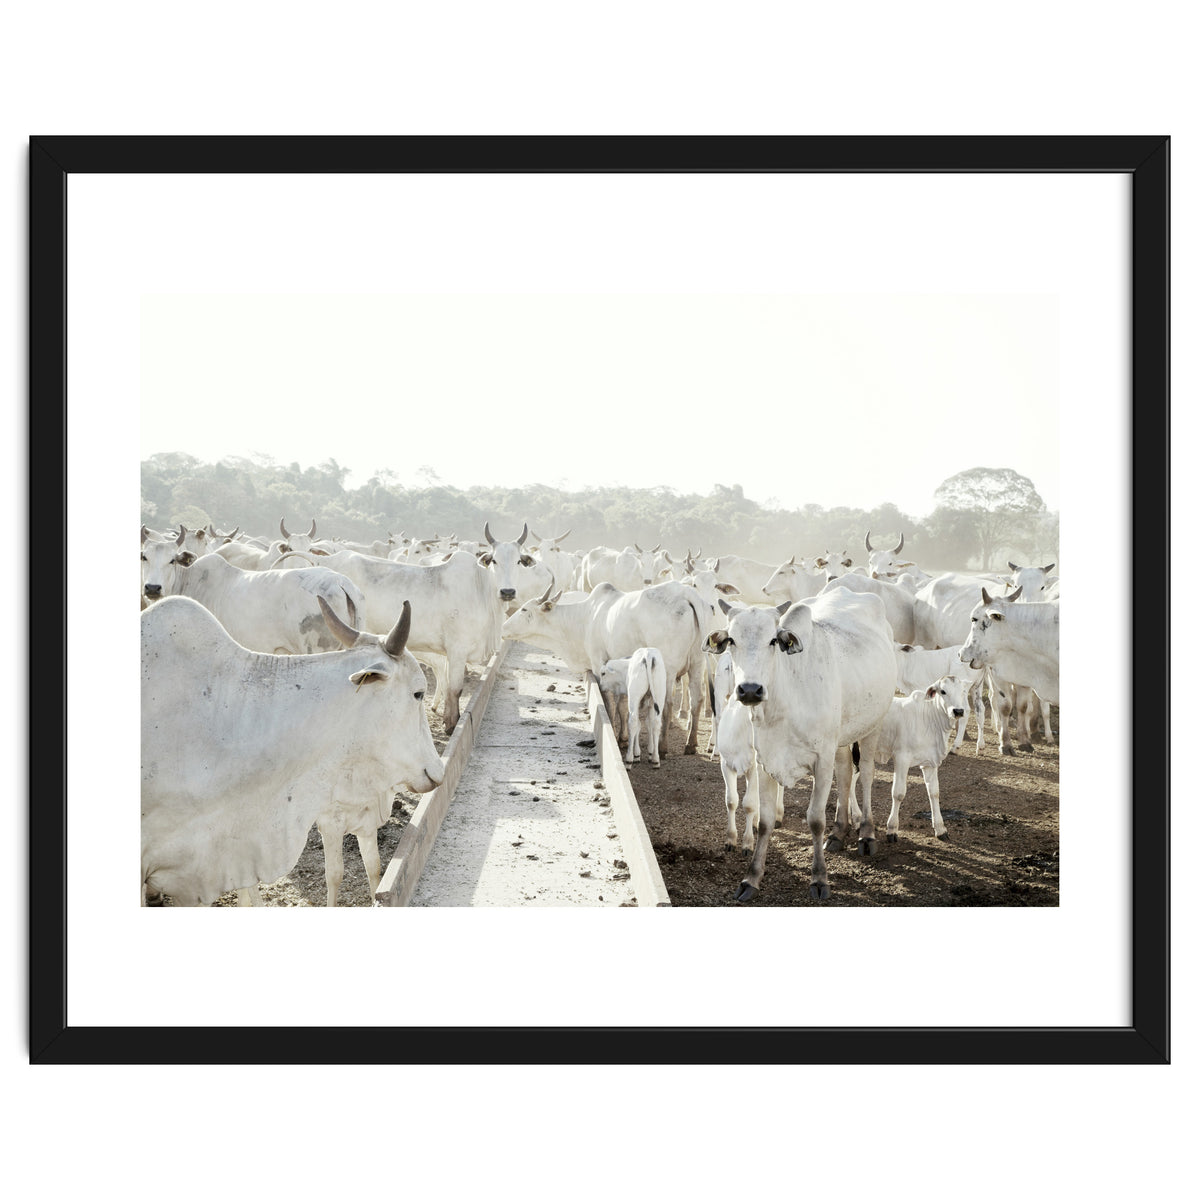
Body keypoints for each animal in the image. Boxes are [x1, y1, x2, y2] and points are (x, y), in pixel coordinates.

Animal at [502, 580, 708, 756]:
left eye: (524, 609)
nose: (503, 628)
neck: (585, 618)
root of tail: (685, 592)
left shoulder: (598, 663)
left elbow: (609, 702)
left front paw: (614, 734)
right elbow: (623, 705)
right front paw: (624, 738)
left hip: (668, 669)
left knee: (667, 704)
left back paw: (663, 747)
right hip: (697, 663)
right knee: (697, 699)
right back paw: (691, 744)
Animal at [708, 589, 896, 901]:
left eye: (773, 640)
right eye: (732, 640)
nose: (749, 690)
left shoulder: (821, 760)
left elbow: (815, 819)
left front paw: (819, 879)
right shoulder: (765, 761)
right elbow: (764, 822)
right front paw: (751, 878)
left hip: (874, 723)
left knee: (867, 774)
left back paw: (866, 834)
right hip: (840, 739)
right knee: (845, 773)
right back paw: (839, 831)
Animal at [855, 675, 974, 844]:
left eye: (963, 691)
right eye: (943, 691)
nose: (958, 711)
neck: (929, 720)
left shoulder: (930, 763)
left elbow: (934, 793)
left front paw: (940, 829)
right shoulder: (901, 758)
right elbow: (898, 793)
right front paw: (892, 829)